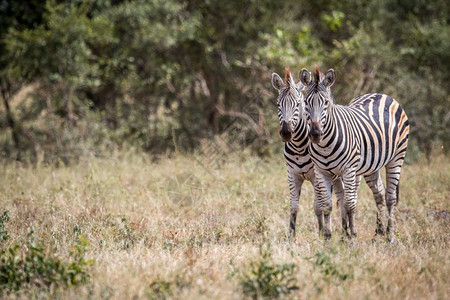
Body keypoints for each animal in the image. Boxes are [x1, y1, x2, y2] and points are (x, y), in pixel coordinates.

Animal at [298, 66, 412, 241]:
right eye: (305, 102)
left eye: (326, 103)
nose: (315, 134)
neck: (324, 146)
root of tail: (381, 94)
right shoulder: (321, 171)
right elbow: (326, 206)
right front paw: (327, 238)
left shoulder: (349, 170)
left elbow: (349, 204)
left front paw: (351, 238)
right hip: (371, 166)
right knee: (379, 193)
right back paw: (378, 233)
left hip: (397, 157)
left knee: (390, 197)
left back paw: (390, 236)